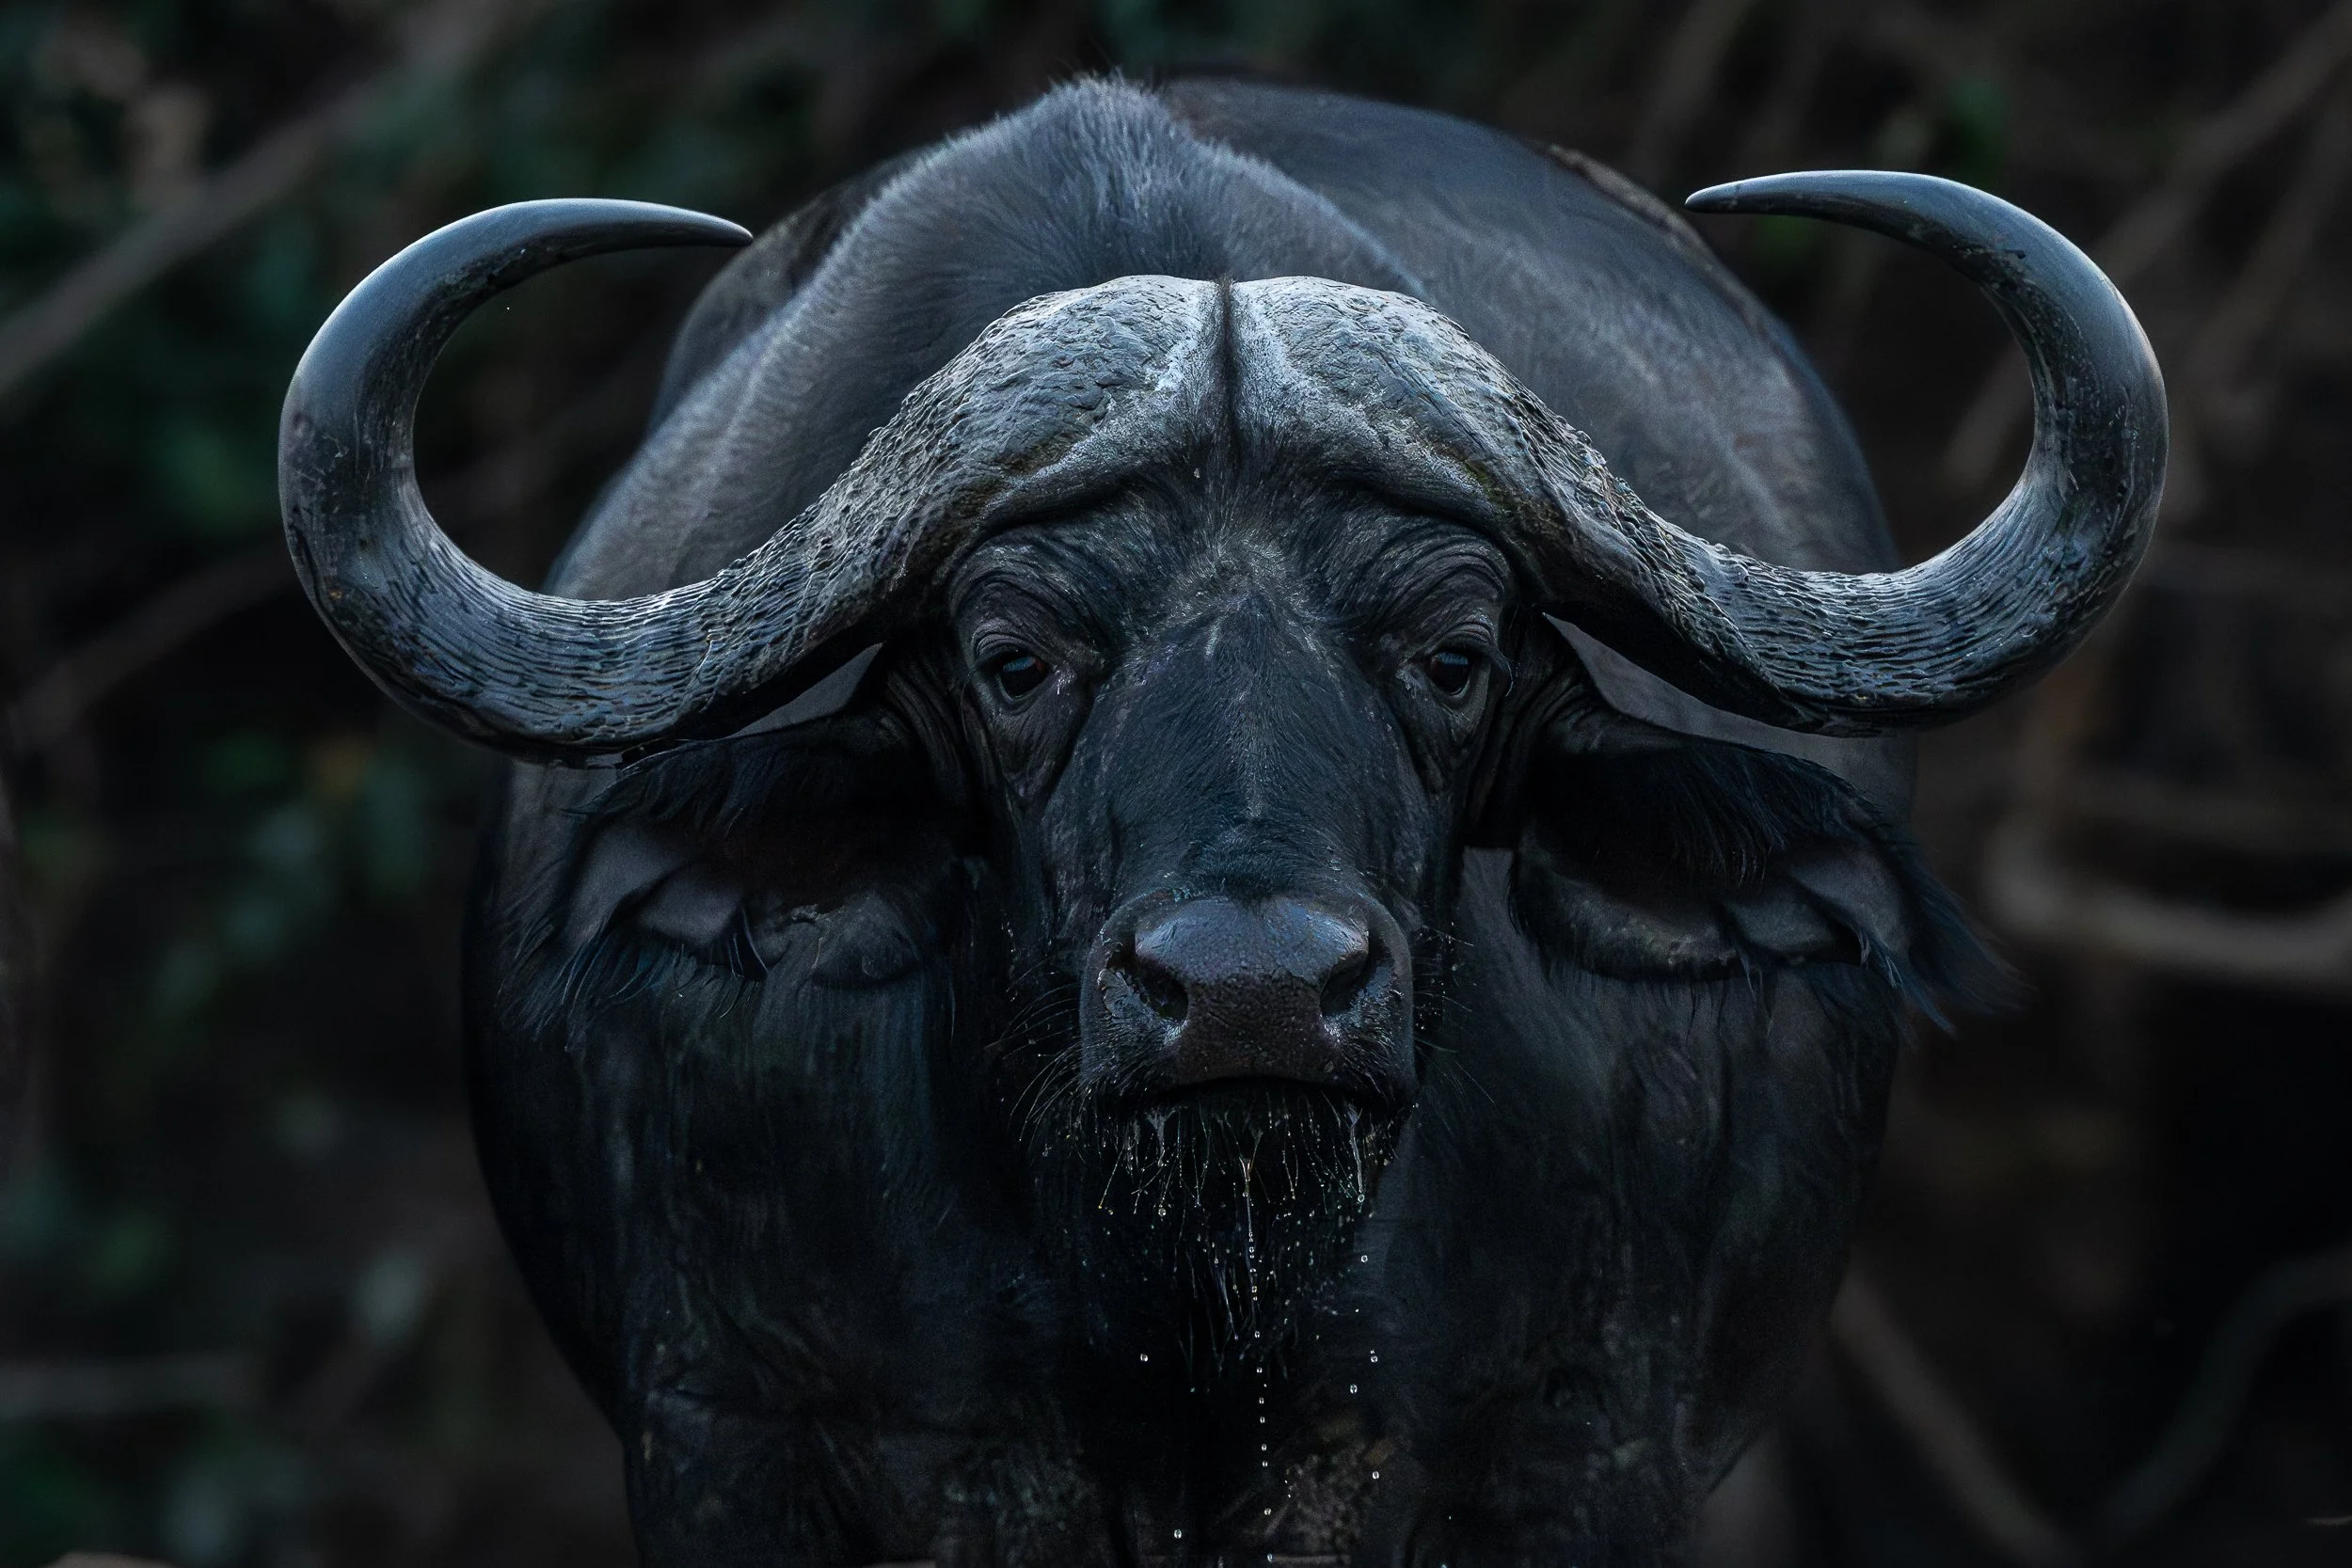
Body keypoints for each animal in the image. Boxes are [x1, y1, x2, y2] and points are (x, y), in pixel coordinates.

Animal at [278, 80, 2163, 1567]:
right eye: (1012, 655)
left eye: (1456, 650)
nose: (1252, 990)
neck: (1170, 1289)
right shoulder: (731, 1435)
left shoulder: (1576, 1442)